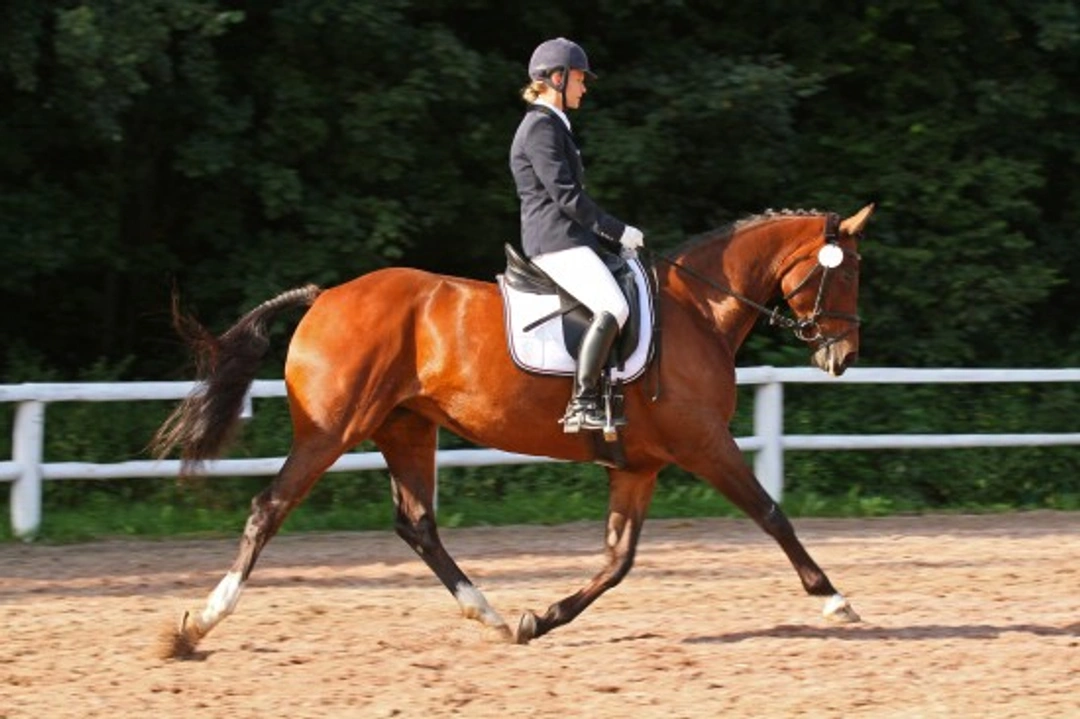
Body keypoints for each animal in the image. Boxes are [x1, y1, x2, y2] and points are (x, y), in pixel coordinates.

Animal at [153, 204, 874, 658]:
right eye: (846, 270)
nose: (842, 356)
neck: (697, 308)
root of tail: (324, 295)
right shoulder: (705, 445)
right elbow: (772, 513)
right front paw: (835, 599)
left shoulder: (638, 465)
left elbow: (617, 560)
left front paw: (541, 618)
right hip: (330, 431)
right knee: (269, 507)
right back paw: (196, 627)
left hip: (405, 429)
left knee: (417, 523)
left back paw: (495, 616)